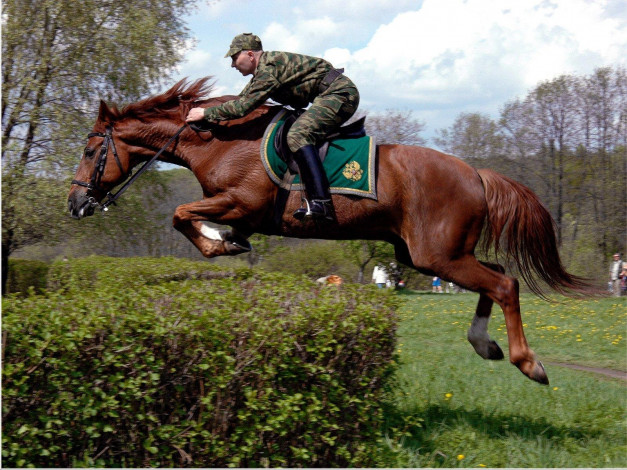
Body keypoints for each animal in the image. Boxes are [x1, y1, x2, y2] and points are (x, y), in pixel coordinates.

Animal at [68, 78, 592, 386]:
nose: (75, 204)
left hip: (437, 256)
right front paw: (228, 242)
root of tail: (476, 174)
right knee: (499, 274)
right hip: (425, 254)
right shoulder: (237, 208)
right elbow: (191, 219)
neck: (219, 140)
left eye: (92, 151)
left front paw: (219, 244)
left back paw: (529, 363)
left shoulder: (242, 201)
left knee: (504, 284)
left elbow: (180, 214)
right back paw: (485, 343)